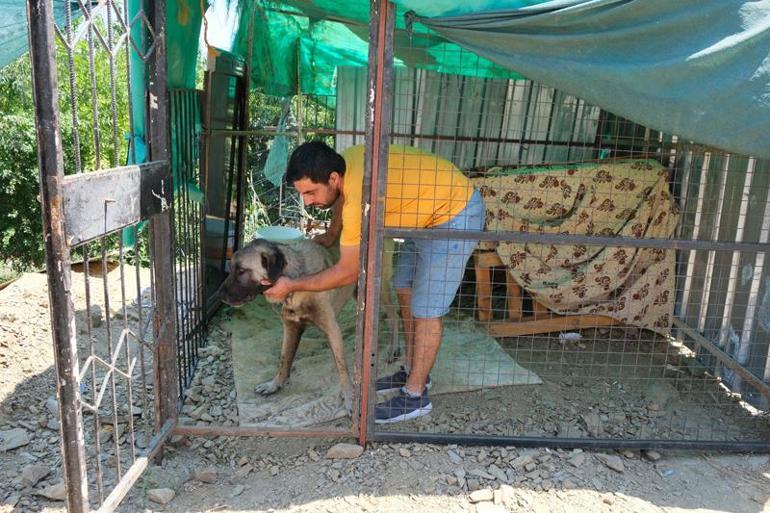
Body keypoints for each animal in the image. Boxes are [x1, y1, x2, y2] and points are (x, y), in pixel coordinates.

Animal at [218, 238, 356, 414]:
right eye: (231, 268)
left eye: (242, 270)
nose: (219, 295)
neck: (297, 284)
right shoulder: (291, 328)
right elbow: (284, 359)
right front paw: (274, 385)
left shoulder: (332, 329)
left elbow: (342, 366)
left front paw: (350, 396)